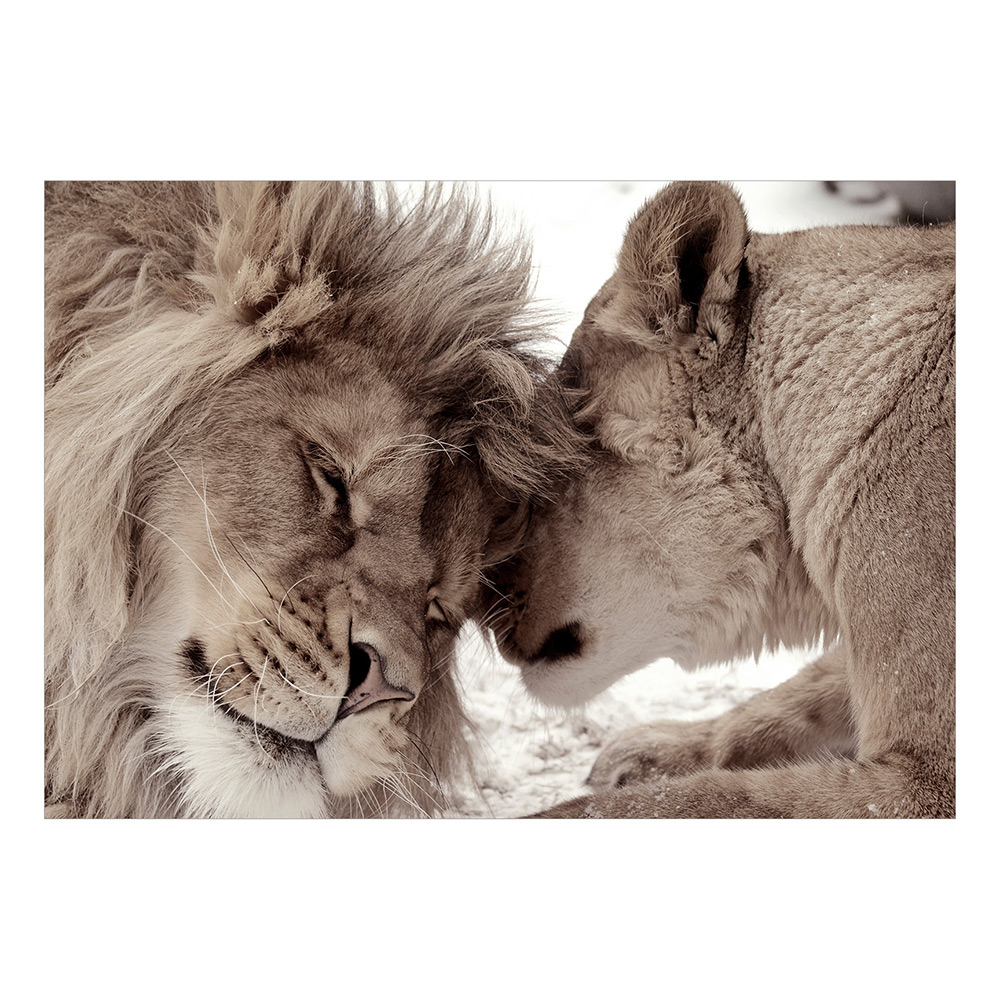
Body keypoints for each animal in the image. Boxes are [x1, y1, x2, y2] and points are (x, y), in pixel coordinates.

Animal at [495, 181, 955, 818]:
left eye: (544, 473)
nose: (483, 608)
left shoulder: (927, 782)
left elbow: (700, 799)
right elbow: (795, 697)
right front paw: (654, 750)